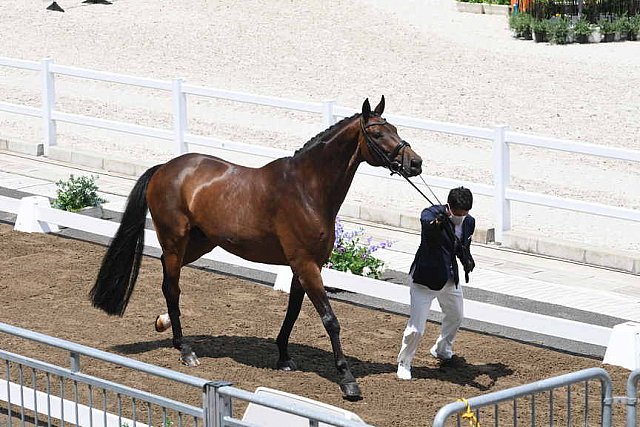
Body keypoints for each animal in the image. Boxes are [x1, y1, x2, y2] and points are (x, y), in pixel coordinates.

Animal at [89, 97, 420, 402]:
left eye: (395, 129)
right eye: (377, 133)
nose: (415, 163)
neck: (307, 190)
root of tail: (164, 169)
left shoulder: (302, 266)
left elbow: (293, 311)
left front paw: (284, 357)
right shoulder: (307, 265)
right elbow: (330, 320)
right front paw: (348, 380)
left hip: (199, 243)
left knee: (166, 279)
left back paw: (165, 324)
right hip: (176, 241)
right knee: (172, 287)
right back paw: (185, 350)